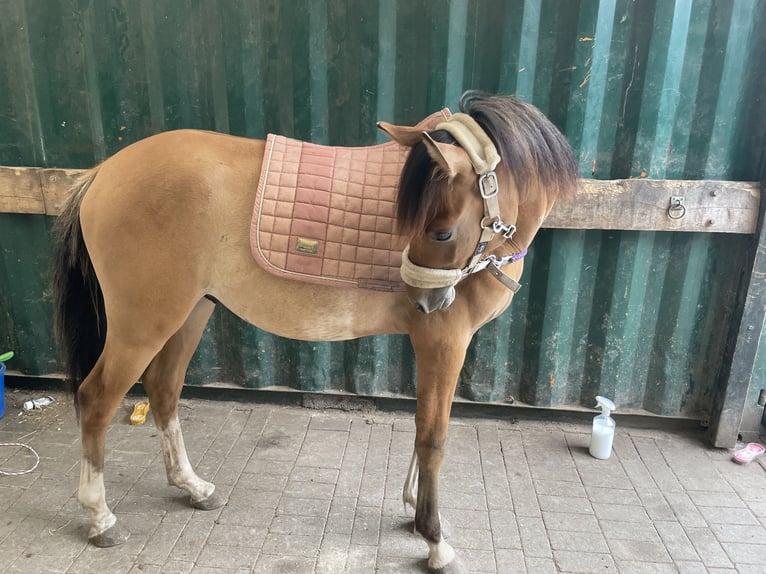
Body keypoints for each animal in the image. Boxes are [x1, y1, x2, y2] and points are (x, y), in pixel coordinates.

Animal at [52, 92, 576, 572]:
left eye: (439, 231)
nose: (423, 301)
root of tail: (102, 172)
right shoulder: (445, 342)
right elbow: (434, 437)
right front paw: (434, 540)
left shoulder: (432, 344)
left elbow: (423, 427)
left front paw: (413, 510)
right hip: (143, 325)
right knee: (96, 399)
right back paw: (101, 518)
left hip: (190, 314)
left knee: (163, 390)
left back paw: (193, 487)